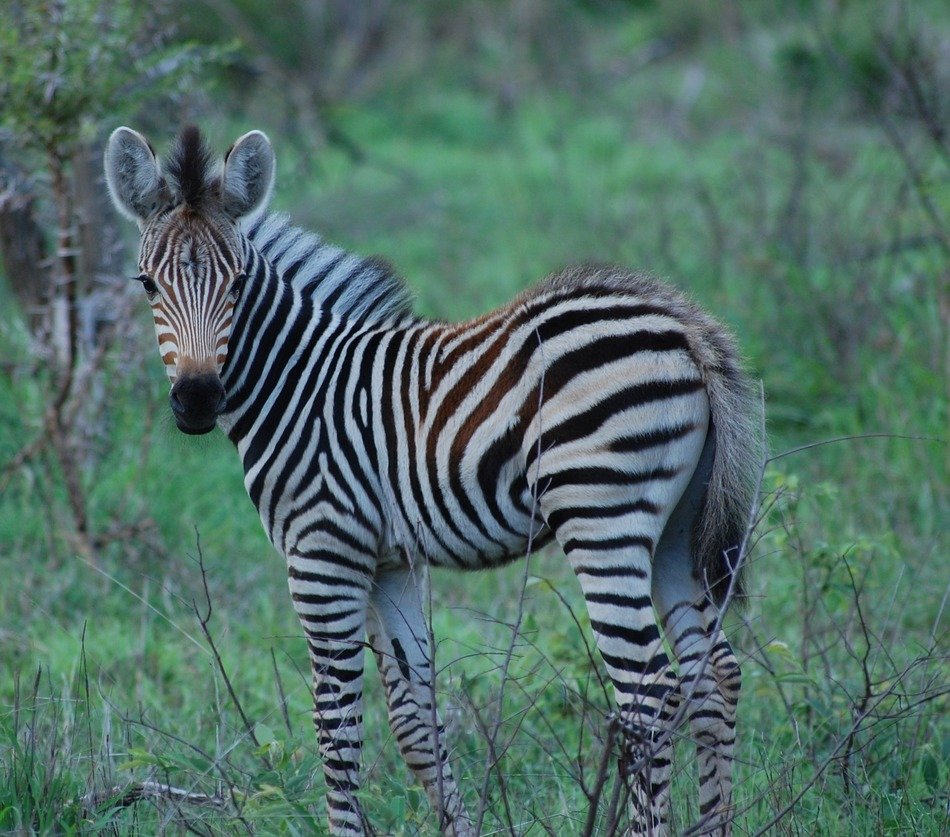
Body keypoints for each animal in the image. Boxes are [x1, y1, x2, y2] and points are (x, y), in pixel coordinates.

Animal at [105, 125, 763, 836]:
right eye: (147, 285)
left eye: (238, 284)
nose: (197, 401)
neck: (300, 384)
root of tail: (683, 323)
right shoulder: (391, 562)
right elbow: (415, 720)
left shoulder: (323, 553)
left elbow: (336, 723)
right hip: (677, 526)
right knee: (714, 676)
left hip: (601, 518)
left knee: (650, 692)